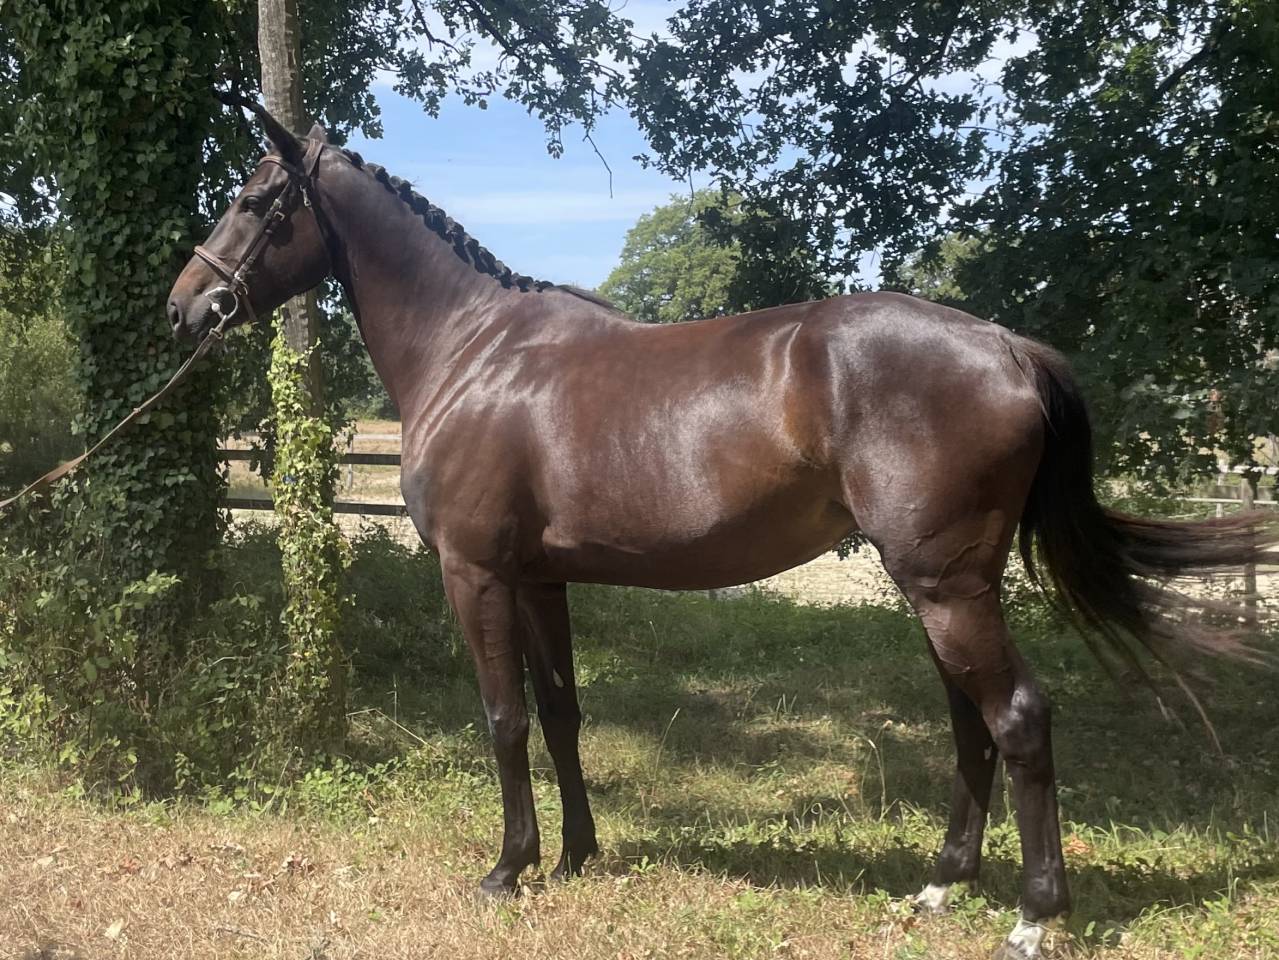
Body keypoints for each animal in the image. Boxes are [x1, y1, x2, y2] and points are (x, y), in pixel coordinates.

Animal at [166, 104, 1276, 960]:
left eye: (254, 200)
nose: (186, 307)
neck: (473, 352)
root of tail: (1007, 346)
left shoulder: (475, 573)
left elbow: (504, 718)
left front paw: (507, 868)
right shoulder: (539, 578)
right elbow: (561, 713)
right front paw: (577, 854)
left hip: (946, 586)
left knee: (1016, 719)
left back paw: (1035, 917)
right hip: (947, 586)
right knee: (971, 723)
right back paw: (940, 886)